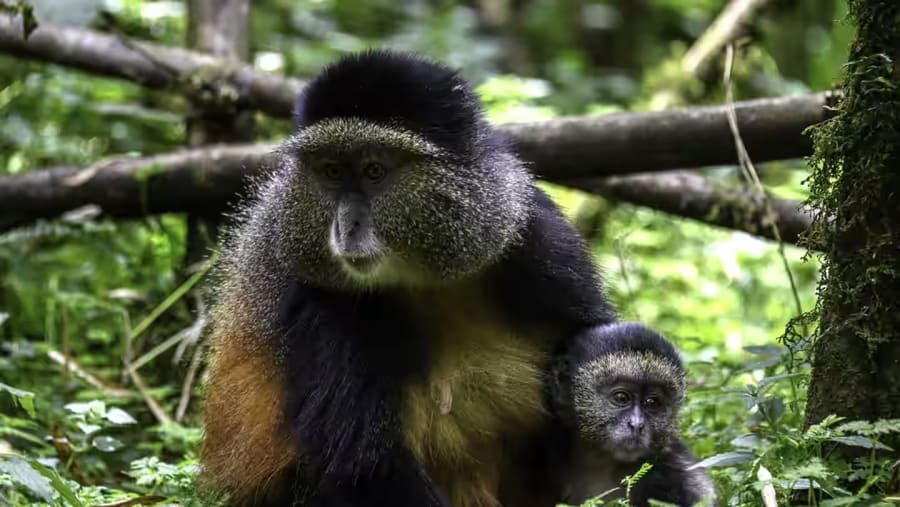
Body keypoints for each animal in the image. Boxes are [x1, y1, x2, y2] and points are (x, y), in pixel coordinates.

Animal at [198, 49, 617, 507]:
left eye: (374, 170)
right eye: (331, 172)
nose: (346, 227)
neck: (427, 276)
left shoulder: (537, 240)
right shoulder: (314, 299)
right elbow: (363, 463)